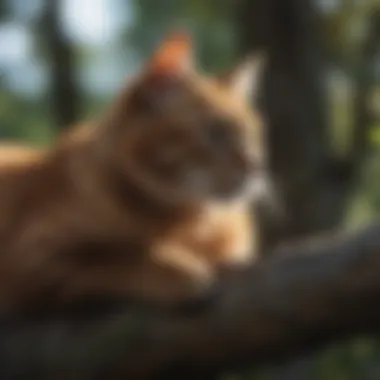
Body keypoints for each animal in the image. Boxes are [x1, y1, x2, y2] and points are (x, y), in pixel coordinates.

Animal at [0, 32, 268, 314]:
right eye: (216, 132)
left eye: (255, 136)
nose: (257, 166)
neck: (192, 224)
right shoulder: (33, 259)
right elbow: (122, 256)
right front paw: (181, 270)